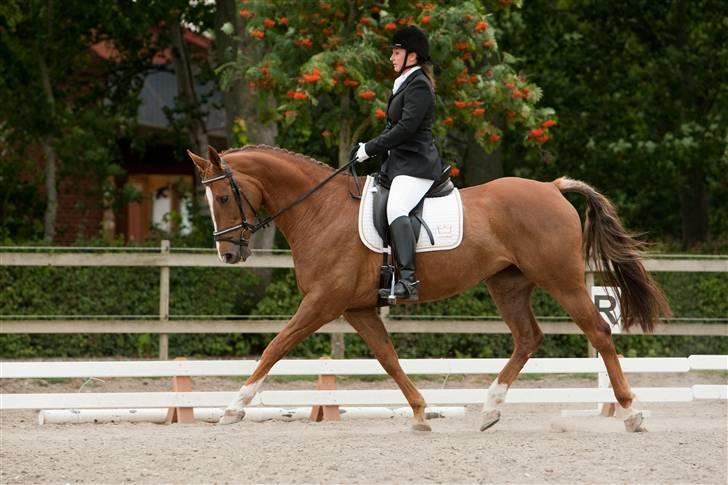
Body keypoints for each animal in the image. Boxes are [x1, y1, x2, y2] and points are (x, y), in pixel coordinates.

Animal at [189, 144, 672, 432]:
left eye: (225, 197)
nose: (228, 254)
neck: (319, 210)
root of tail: (552, 188)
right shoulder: (357, 309)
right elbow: (388, 359)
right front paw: (422, 412)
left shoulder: (322, 303)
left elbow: (275, 347)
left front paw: (233, 407)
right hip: (507, 284)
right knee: (527, 338)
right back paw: (490, 408)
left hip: (562, 279)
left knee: (599, 334)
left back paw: (631, 412)